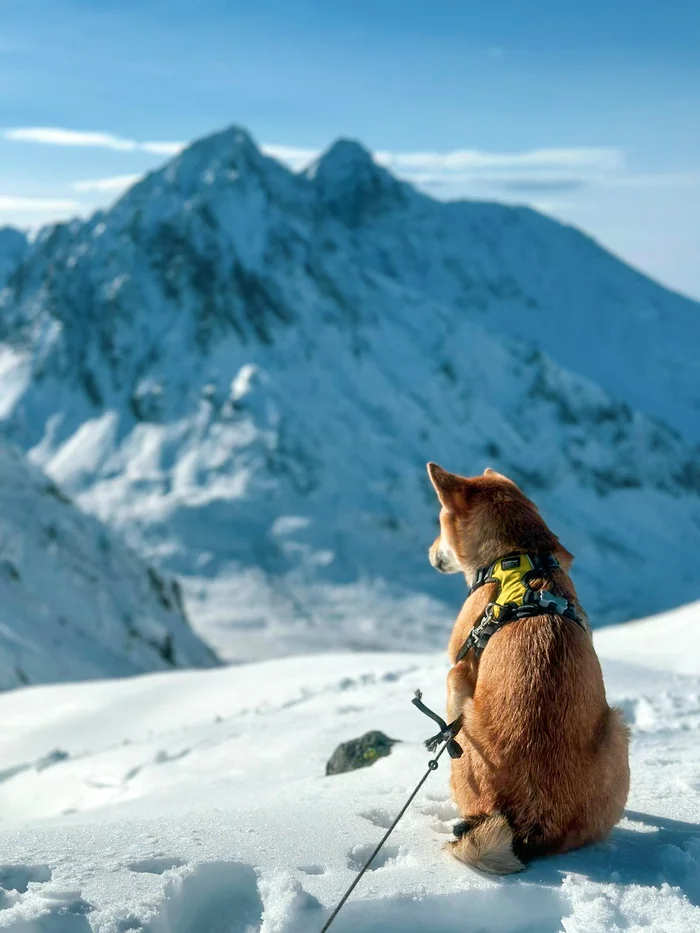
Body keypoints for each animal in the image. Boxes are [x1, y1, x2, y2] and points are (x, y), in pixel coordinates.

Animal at [426, 466, 628, 872]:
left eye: (440, 521)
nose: (430, 553)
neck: (519, 556)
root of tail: (530, 821)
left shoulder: (458, 671)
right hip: (617, 729)